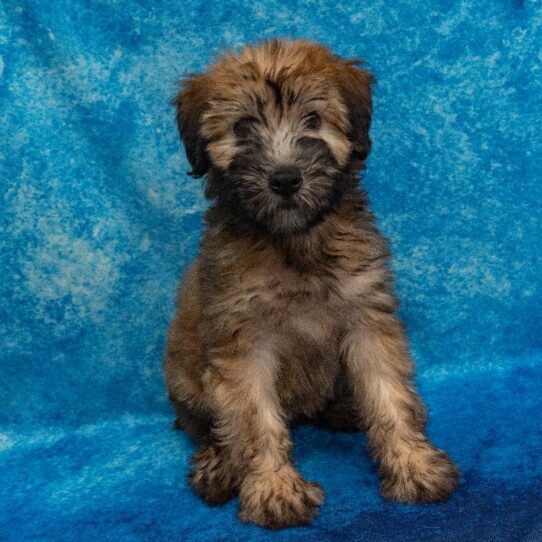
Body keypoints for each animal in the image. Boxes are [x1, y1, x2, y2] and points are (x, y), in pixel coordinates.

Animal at [165, 39, 460, 532]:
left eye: (313, 121)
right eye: (243, 127)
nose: (285, 178)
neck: (294, 241)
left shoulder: (366, 313)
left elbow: (388, 392)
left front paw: (412, 464)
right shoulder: (243, 340)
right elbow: (252, 419)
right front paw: (273, 489)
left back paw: (344, 409)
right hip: (186, 381)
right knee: (208, 427)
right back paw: (218, 465)